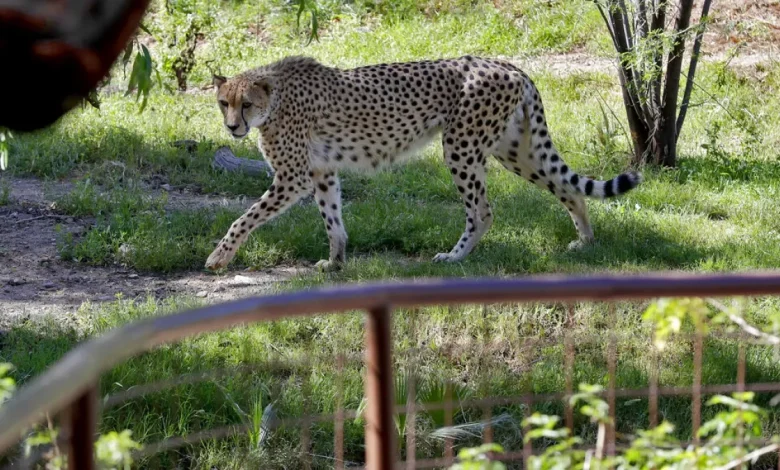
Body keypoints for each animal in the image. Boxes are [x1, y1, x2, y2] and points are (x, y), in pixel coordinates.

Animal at [205, 55, 641, 272]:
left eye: (247, 104)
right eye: (224, 102)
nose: (232, 127)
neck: (274, 98)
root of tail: (506, 63)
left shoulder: (293, 177)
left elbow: (244, 218)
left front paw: (218, 259)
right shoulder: (321, 171)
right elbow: (332, 218)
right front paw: (336, 261)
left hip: (461, 146)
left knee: (482, 210)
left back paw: (455, 257)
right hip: (515, 150)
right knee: (568, 187)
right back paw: (585, 241)